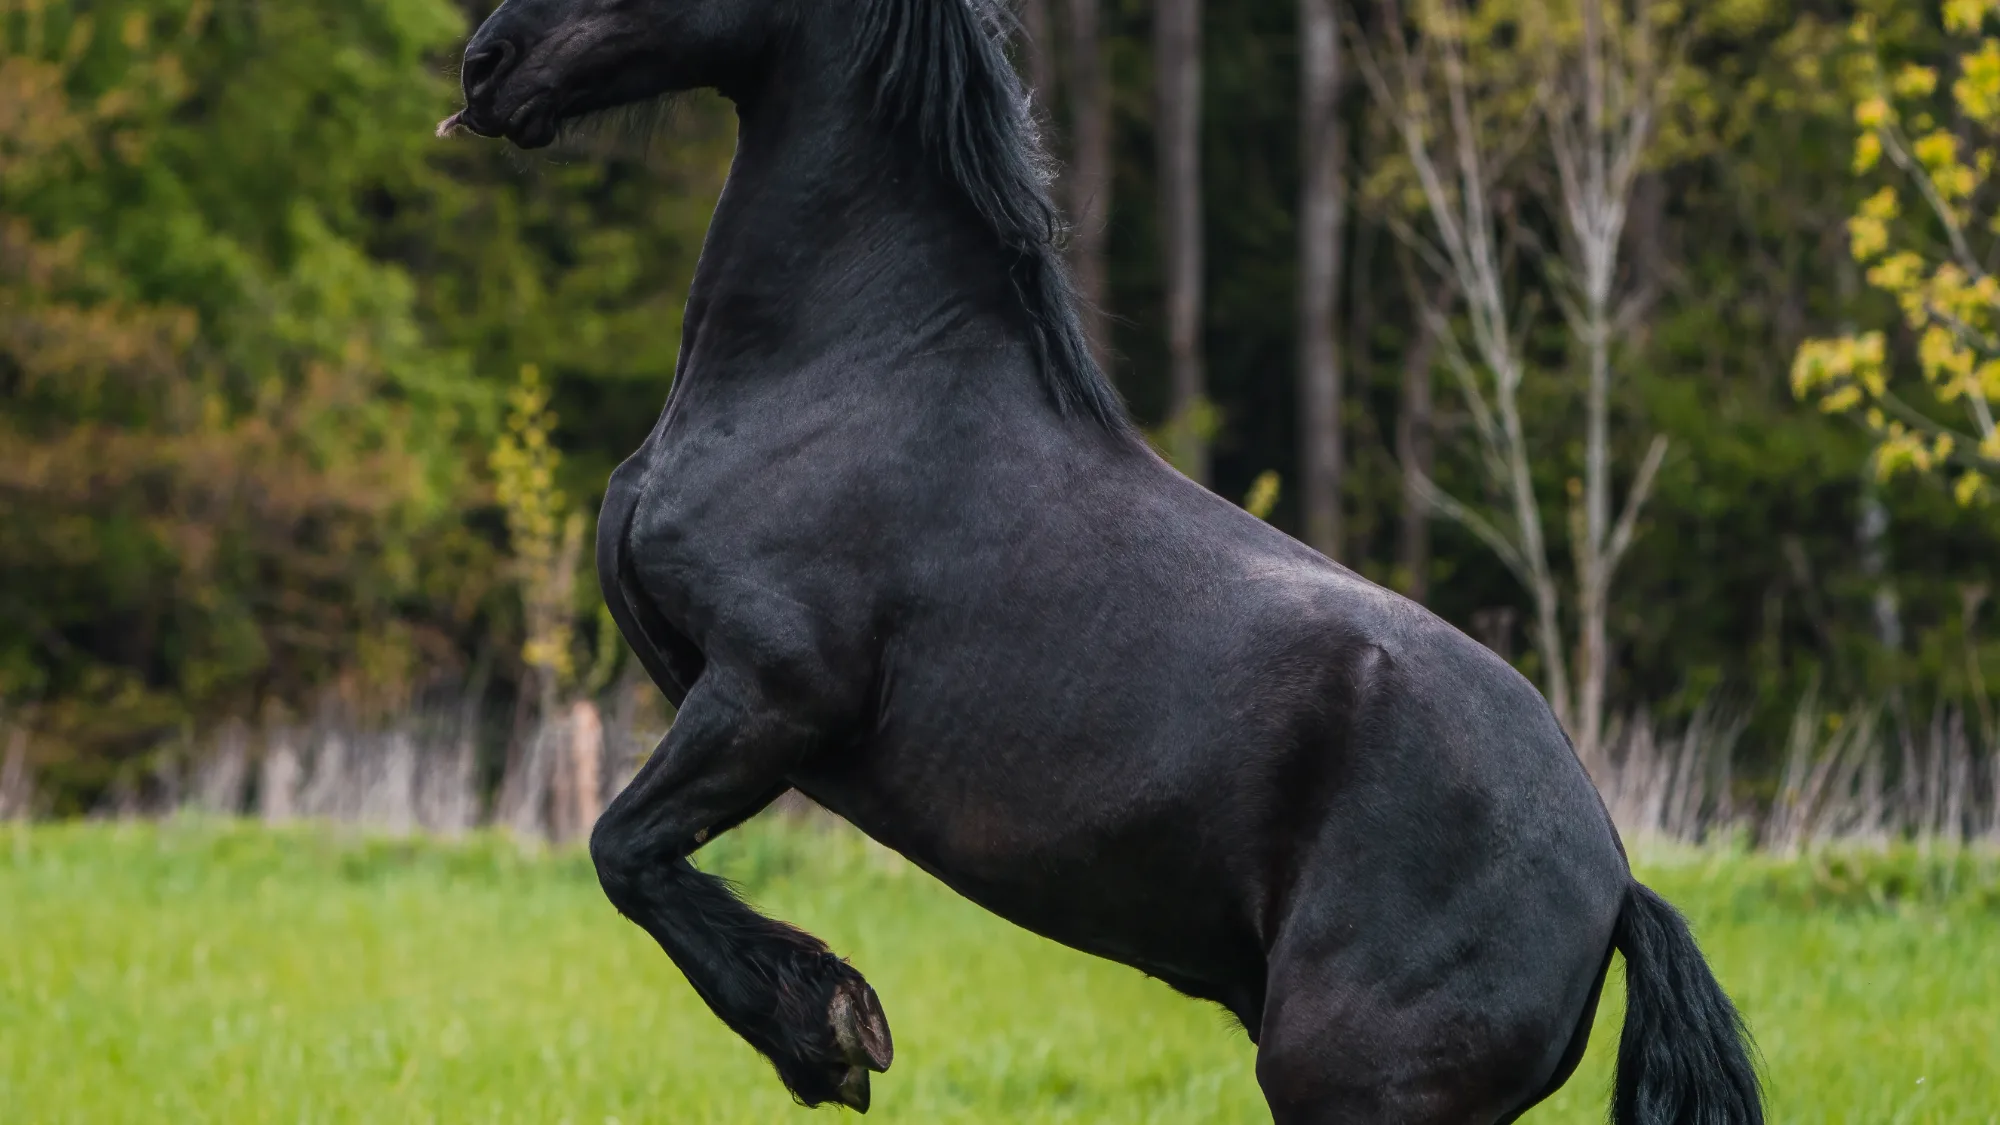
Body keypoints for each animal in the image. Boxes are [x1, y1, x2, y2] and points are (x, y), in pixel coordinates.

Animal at [440, 0, 1764, 1120]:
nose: (485, 66)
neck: (844, 371)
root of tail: (1612, 883)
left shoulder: (771, 692)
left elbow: (623, 850)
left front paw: (827, 1034)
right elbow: (631, 851)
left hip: (1346, 1086)